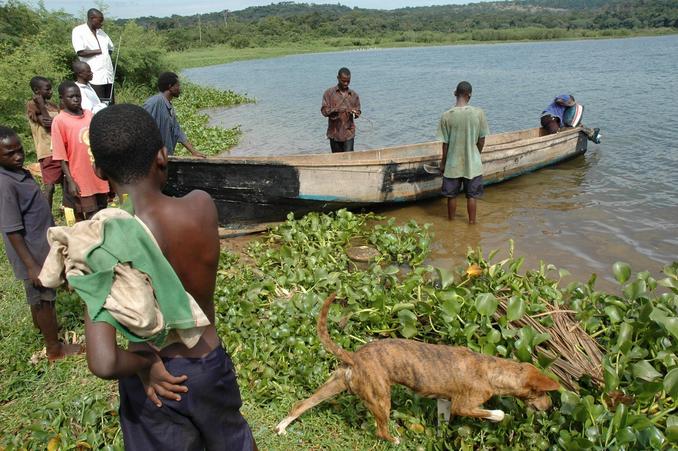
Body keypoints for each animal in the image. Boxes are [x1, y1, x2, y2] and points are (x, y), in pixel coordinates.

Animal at [274, 294, 560, 444]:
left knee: (300, 404)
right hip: (381, 398)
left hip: (334, 385)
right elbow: (496, 414)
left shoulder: (445, 402)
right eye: (544, 394)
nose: (550, 409)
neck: (493, 369)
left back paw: (282, 428)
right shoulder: (464, 405)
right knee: (381, 430)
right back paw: (396, 441)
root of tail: (354, 356)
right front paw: (501, 414)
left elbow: (443, 422)